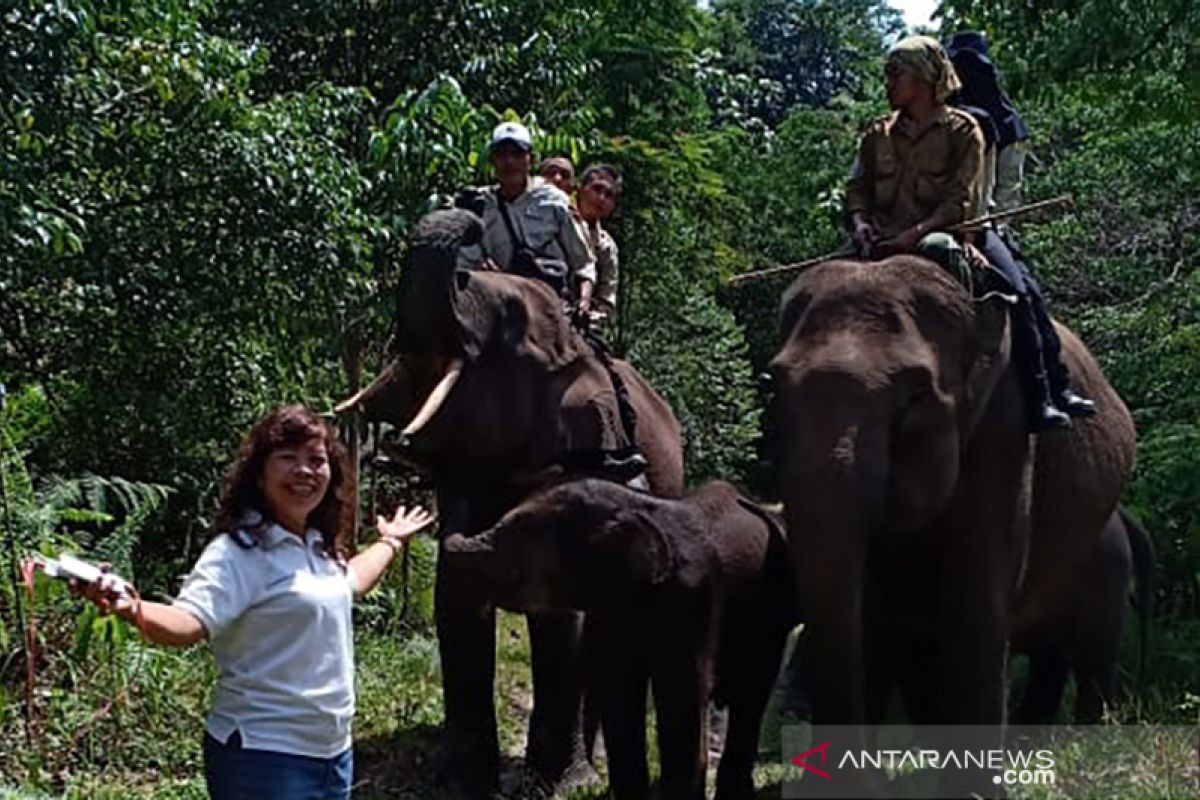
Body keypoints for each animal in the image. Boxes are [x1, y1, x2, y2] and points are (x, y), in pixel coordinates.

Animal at [338, 206, 686, 796]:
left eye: (510, 323)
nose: (473, 219)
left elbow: (562, 619)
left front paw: (558, 784)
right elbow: (455, 603)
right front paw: (459, 781)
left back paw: (589, 769)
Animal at [441, 479, 796, 796]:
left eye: (516, 538)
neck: (631, 509)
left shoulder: (693, 600)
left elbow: (680, 702)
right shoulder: (609, 604)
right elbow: (619, 693)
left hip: (771, 611)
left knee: (753, 693)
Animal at [768, 257, 1132, 796]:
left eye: (916, 395)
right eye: (774, 387)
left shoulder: (1007, 422)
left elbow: (976, 593)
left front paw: (975, 793)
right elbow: (869, 607)